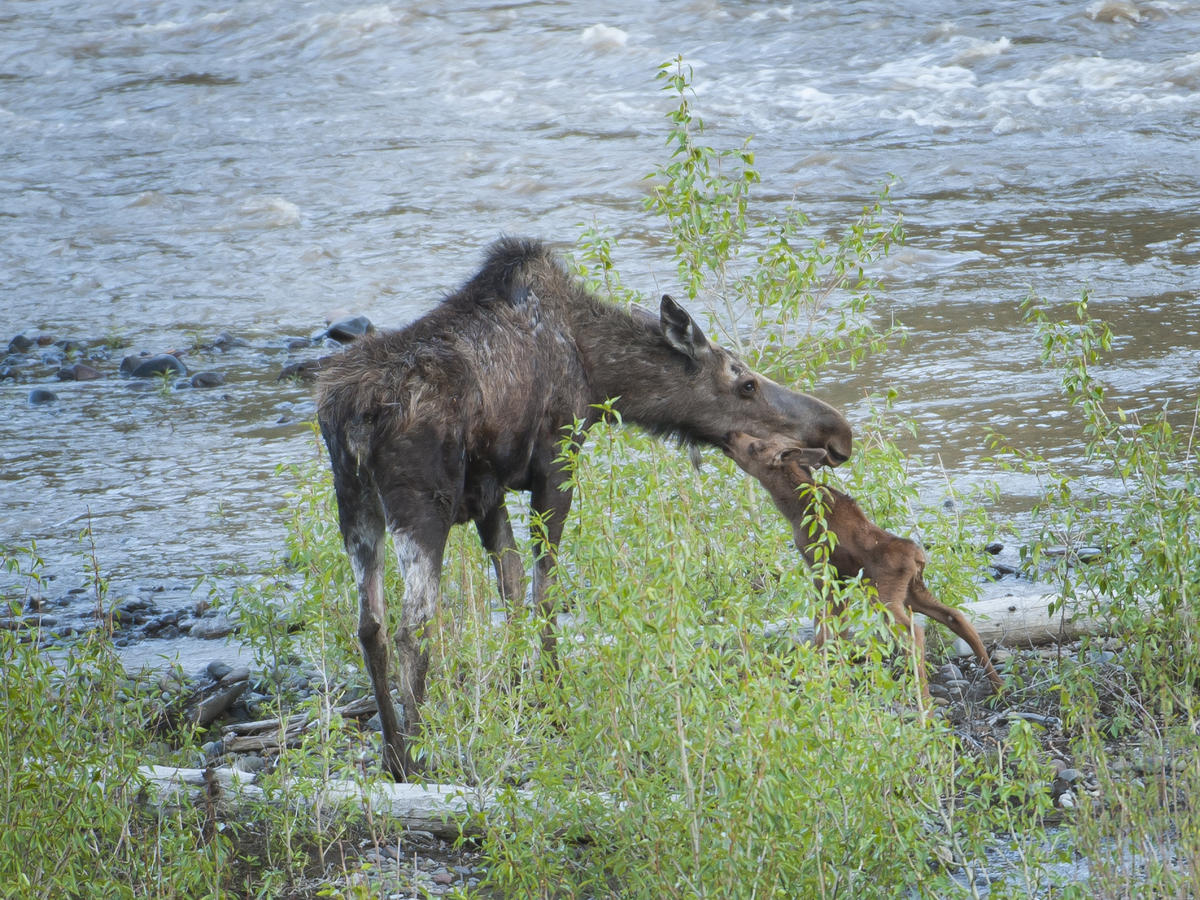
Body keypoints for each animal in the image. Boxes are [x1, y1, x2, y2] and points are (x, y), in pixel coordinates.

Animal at [316, 237, 854, 779]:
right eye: (745, 384)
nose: (838, 432)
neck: (597, 371)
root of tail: (352, 415)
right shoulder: (556, 460)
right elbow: (545, 591)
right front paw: (554, 700)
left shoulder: (488, 492)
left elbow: (512, 587)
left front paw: (518, 692)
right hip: (423, 504)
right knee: (415, 623)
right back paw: (413, 754)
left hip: (355, 504)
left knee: (371, 626)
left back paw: (391, 750)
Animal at [722, 430, 1004, 701]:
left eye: (756, 447)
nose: (731, 437)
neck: (791, 507)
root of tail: (917, 557)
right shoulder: (842, 578)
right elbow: (839, 630)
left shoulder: (821, 569)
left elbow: (822, 630)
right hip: (912, 592)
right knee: (956, 617)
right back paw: (997, 685)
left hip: (885, 596)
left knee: (914, 634)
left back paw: (925, 703)